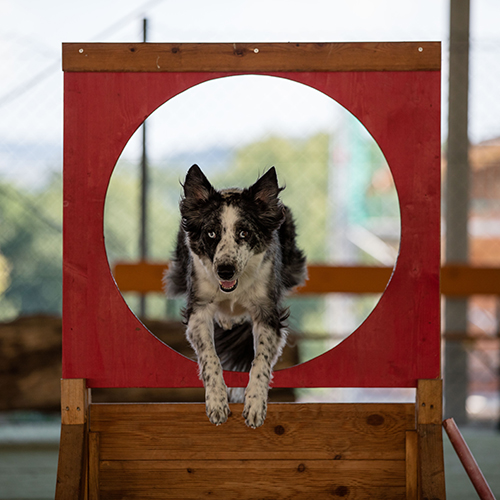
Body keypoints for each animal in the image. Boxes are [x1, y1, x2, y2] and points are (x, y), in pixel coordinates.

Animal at [166, 166, 306, 428]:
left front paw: (255, 405)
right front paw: (217, 402)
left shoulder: (267, 311)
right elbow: (210, 357)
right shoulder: (199, 308)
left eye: (244, 232)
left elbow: (261, 359)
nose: (225, 271)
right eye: (211, 233)